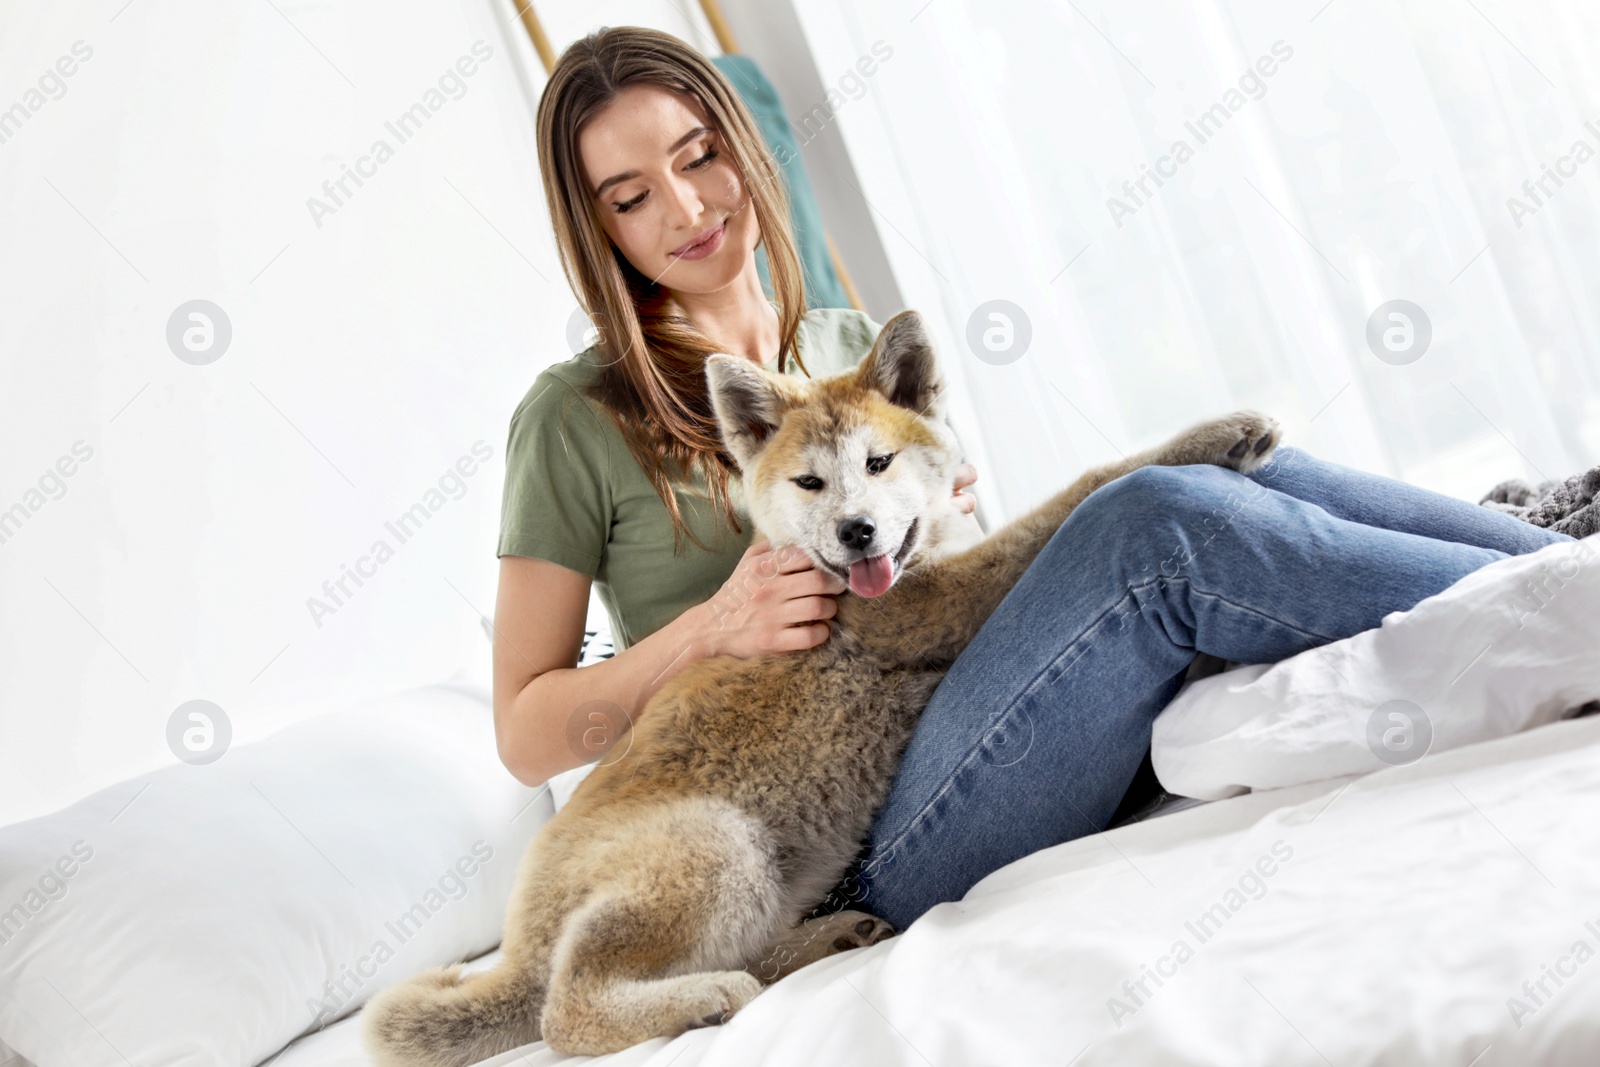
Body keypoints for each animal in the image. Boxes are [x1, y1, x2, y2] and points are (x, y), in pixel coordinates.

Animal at [366, 307, 1286, 1062]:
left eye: (878, 461)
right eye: (810, 481)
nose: (857, 531)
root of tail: (519, 948)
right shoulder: (940, 601)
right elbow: (1092, 487)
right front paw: (1212, 436)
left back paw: (826, 941)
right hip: (716, 847)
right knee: (567, 1014)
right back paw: (703, 998)